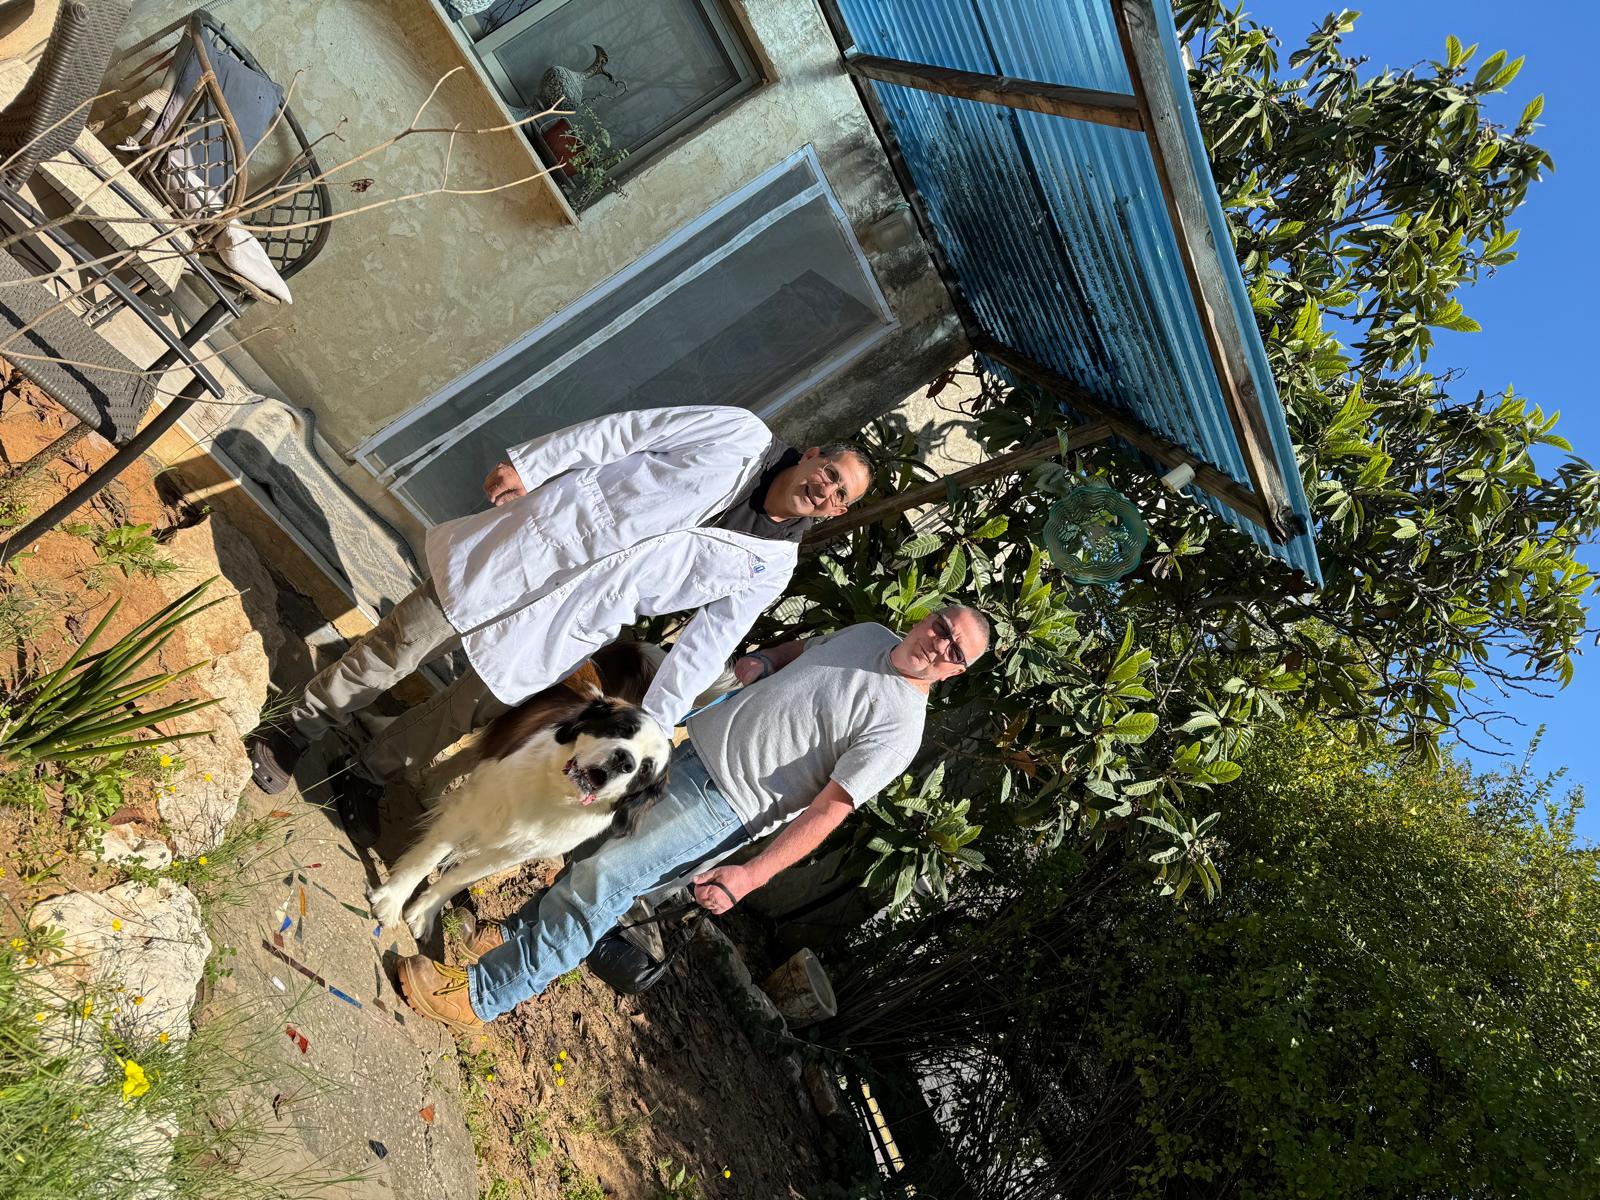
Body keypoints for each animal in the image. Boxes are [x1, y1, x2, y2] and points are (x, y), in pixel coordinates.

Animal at [367, 643, 671, 940]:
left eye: (645, 770)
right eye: (623, 729)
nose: (624, 761)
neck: (555, 793)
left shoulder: (511, 854)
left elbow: (458, 879)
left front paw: (424, 912)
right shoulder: (472, 810)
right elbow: (426, 858)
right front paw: (392, 900)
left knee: (465, 757)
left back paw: (431, 790)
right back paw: (378, 724)